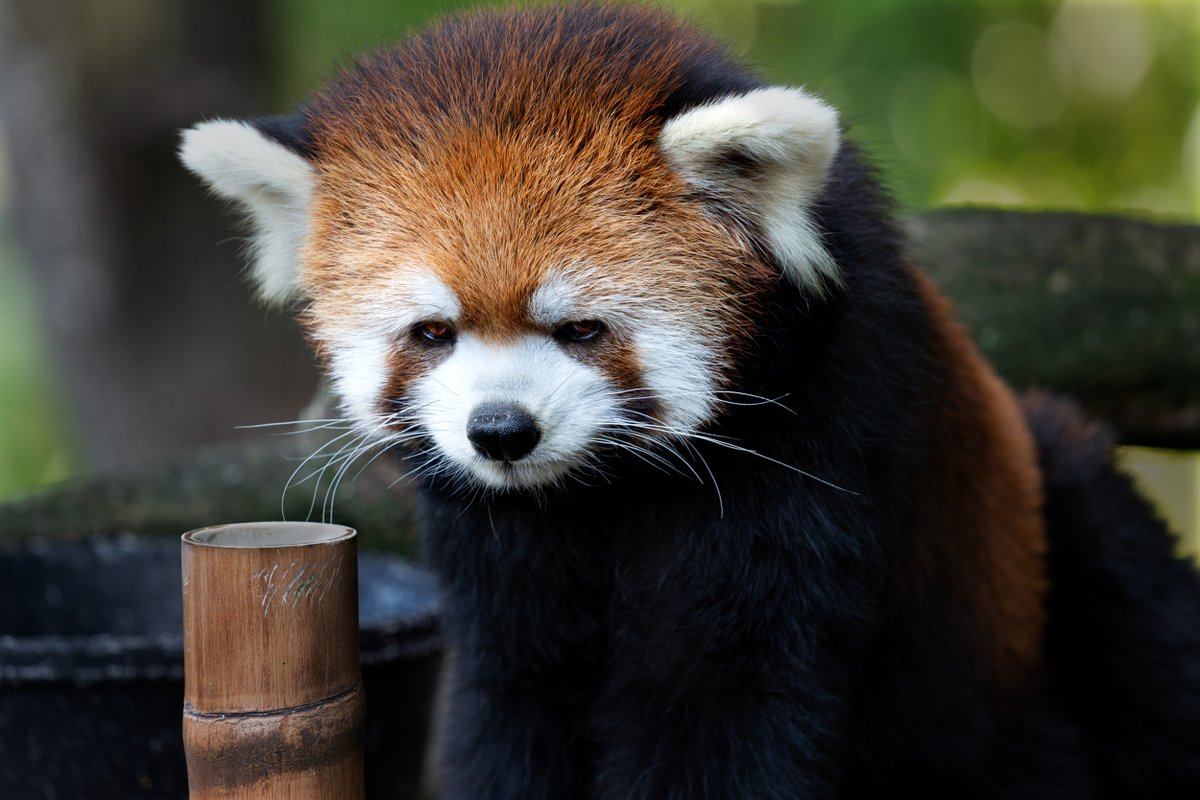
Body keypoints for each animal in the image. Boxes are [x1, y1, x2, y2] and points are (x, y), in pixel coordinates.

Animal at [179, 4, 1200, 798]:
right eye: (433, 332)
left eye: (581, 328)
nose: (502, 432)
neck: (598, 493)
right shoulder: (497, 550)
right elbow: (520, 696)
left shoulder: (822, 425)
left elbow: (717, 693)